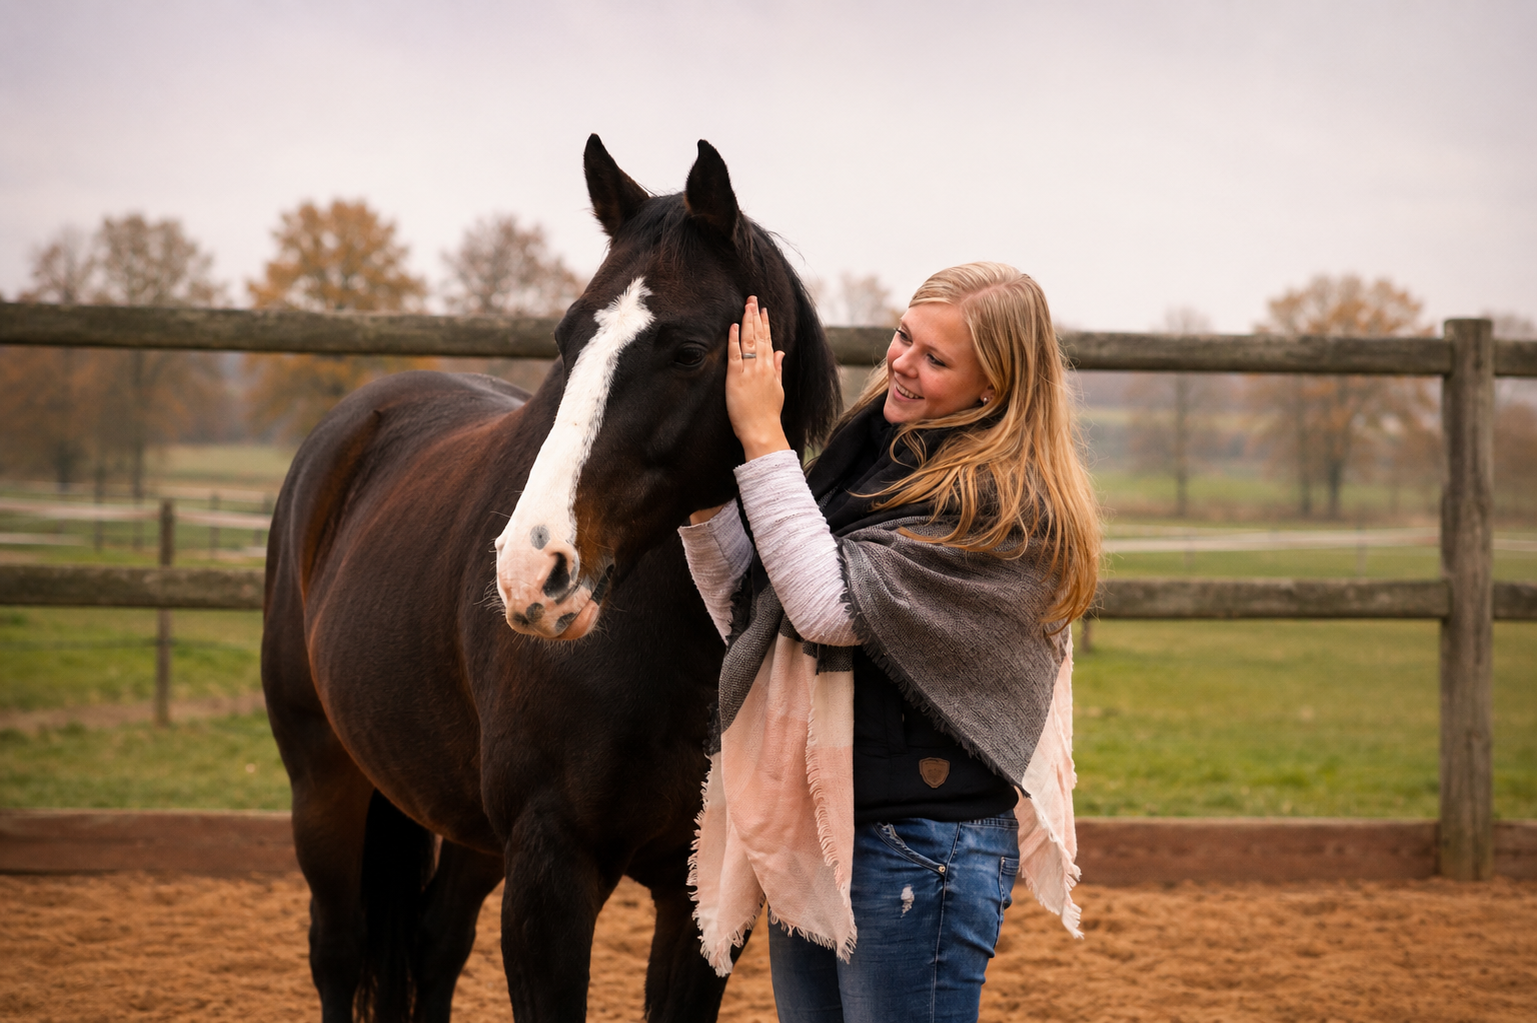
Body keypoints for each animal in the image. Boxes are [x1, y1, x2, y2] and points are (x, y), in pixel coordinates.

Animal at [261, 134, 841, 1023]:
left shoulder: (704, 892)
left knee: (433, 943)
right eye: (567, 338)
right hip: (324, 782)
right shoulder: (549, 874)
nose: (532, 569)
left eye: (686, 351)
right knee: (338, 949)